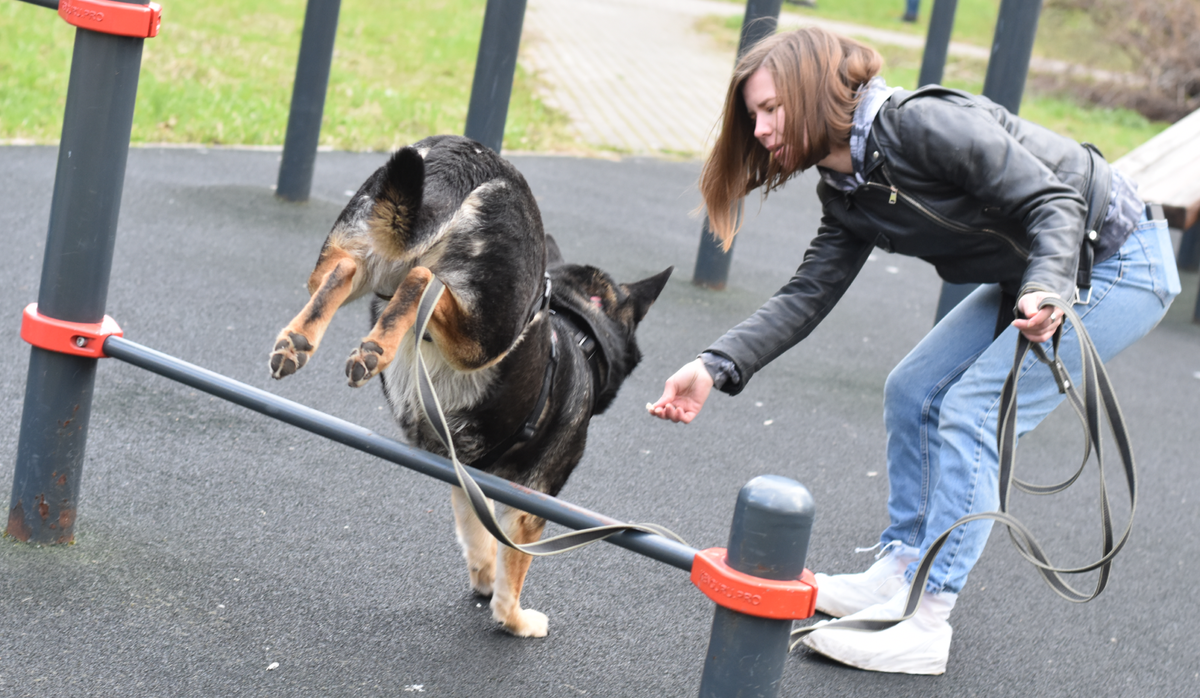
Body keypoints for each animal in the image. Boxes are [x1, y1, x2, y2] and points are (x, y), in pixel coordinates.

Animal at [266, 135, 672, 638]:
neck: (577, 326)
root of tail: (470, 161)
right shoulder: (531, 505)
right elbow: (513, 570)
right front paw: (514, 620)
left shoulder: (467, 478)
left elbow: (482, 543)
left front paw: (483, 580)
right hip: (486, 335)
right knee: (423, 280)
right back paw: (372, 349)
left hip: (360, 255)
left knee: (346, 274)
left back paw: (301, 342)